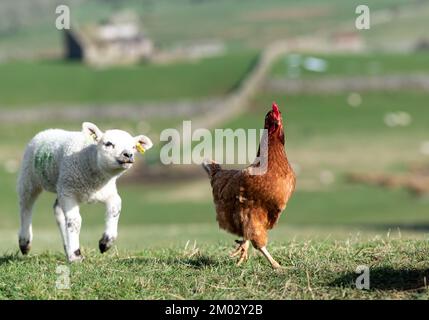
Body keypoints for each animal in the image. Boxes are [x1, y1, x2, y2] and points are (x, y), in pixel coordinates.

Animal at [17, 122, 154, 262]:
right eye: (108, 143)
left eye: (133, 147)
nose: (128, 154)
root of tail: (48, 130)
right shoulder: (69, 192)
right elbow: (75, 221)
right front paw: (75, 255)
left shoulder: (107, 192)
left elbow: (116, 208)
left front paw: (106, 243)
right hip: (30, 178)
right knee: (26, 207)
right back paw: (25, 243)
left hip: (61, 186)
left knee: (57, 209)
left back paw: (66, 246)